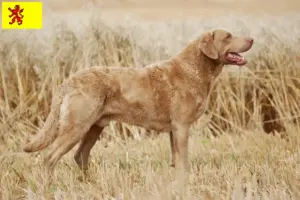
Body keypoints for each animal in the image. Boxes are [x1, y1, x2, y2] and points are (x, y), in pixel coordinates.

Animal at [22, 28, 253, 174]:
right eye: (228, 36)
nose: (251, 39)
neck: (196, 69)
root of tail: (68, 81)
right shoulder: (182, 126)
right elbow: (184, 159)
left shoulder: (174, 129)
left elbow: (176, 159)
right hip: (76, 126)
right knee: (50, 157)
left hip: (94, 127)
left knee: (80, 156)